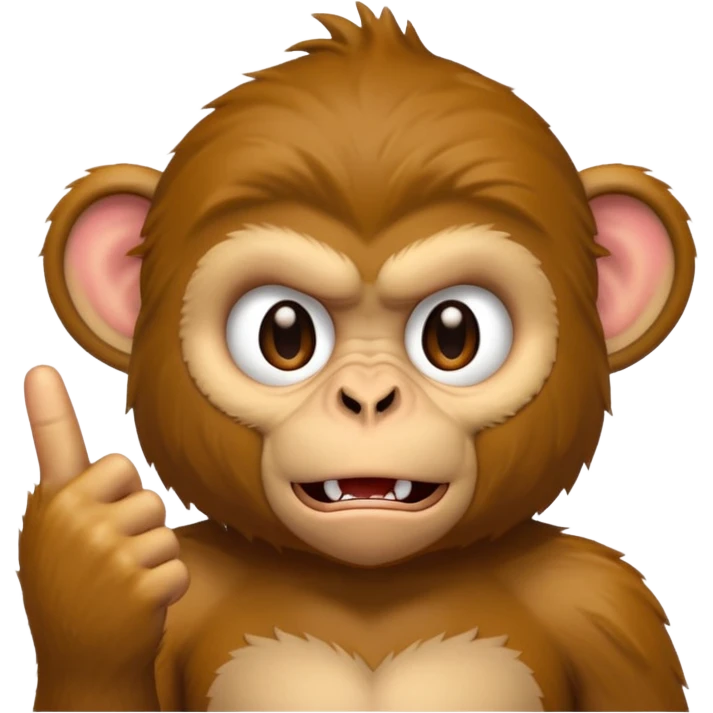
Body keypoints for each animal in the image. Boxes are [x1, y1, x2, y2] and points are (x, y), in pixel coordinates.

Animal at [19, 3, 696, 712]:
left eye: (453, 336)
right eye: (285, 335)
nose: (368, 398)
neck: (372, 586)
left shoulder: (601, 605)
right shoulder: (192, 589)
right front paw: (92, 564)